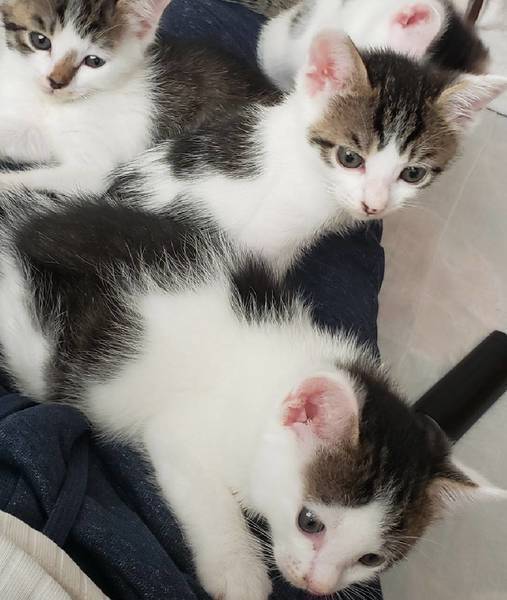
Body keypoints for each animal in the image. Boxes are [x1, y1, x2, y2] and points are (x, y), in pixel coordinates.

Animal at [0, 0, 276, 195]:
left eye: (94, 61)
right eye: (40, 40)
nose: (55, 82)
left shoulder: (96, 170)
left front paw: (6, 182)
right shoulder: (39, 133)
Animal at [0, 191, 504, 600]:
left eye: (370, 560)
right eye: (309, 522)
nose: (316, 586)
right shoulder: (178, 430)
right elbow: (208, 496)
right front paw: (239, 572)